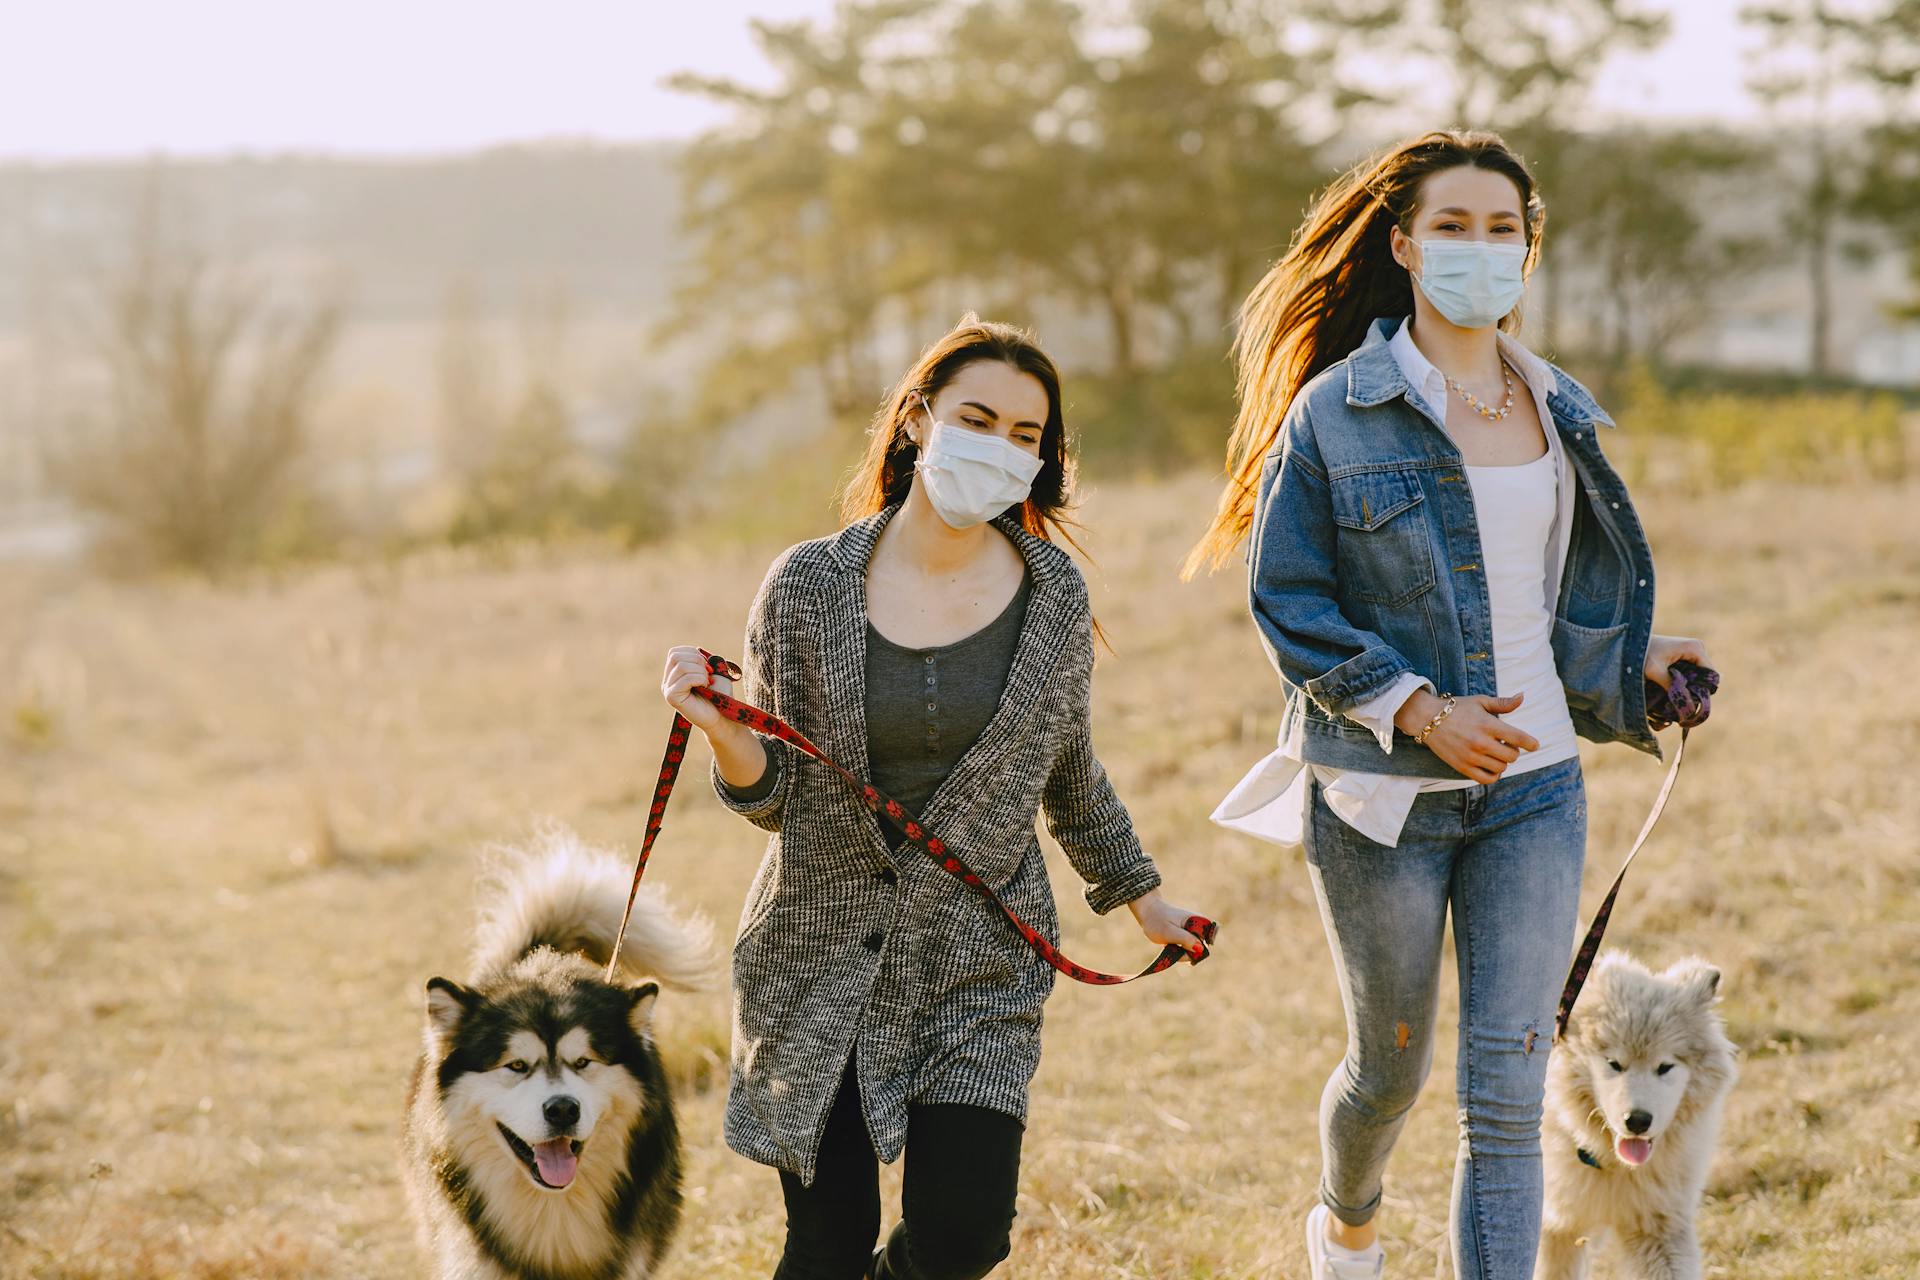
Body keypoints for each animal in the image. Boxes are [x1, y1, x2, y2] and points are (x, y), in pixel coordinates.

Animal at [1528, 951, 1743, 1280]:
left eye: (1665, 1067)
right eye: (1614, 1064)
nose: (1638, 1121)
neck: (1613, 1165)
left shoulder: (1658, 1227)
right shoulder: (1556, 1228)